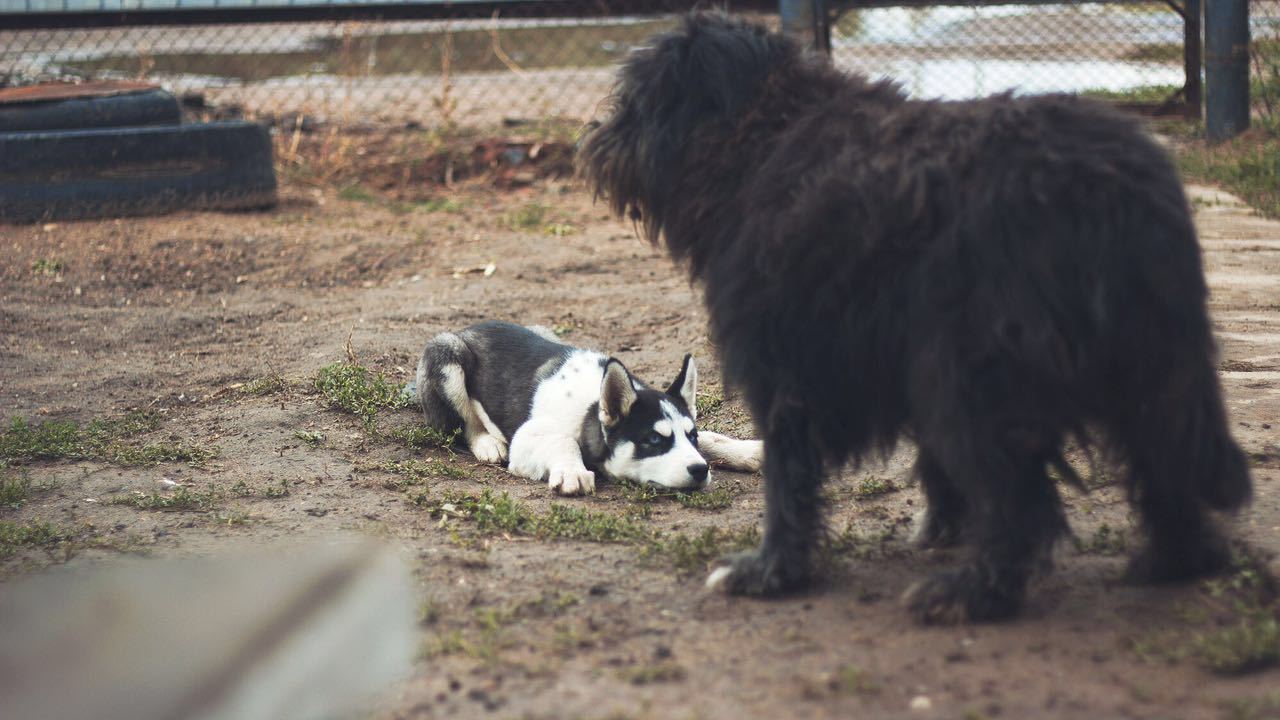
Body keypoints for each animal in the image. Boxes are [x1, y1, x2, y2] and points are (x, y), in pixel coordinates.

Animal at [414, 320, 762, 491]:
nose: (700, 470)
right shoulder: (528, 438)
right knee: (465, 424)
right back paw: (488, 443)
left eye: (691, 437)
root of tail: (465, 329)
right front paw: (572, 471)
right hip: (447, 355)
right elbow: (563, 440)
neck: (592, 405)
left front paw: (748, 450)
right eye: (652, 440)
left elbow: (712, 436)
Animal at [578, 11, 1249, 620]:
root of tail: (1114, 188)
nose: (594, 141)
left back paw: (972, 594)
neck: (761, 138)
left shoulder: (792, 364)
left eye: (634, 102)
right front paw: (943, 526)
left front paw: (771, 572)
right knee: (1164, 462)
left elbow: (789, 477)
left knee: (1023, 501)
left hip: (979, 377)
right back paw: (1172, 562)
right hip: (1152, 363)